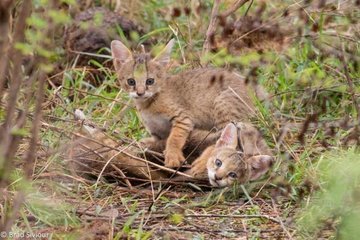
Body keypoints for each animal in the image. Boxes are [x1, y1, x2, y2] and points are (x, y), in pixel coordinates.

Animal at [111, 39, 255, 167]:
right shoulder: (157, 133)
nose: (140, 93)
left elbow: (174, 138)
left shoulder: (183, 119)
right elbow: (160, 141)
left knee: (226, 143)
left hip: (223, 106)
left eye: (150, 81)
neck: (148, 105)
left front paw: (173, 156)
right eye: (131, 81)